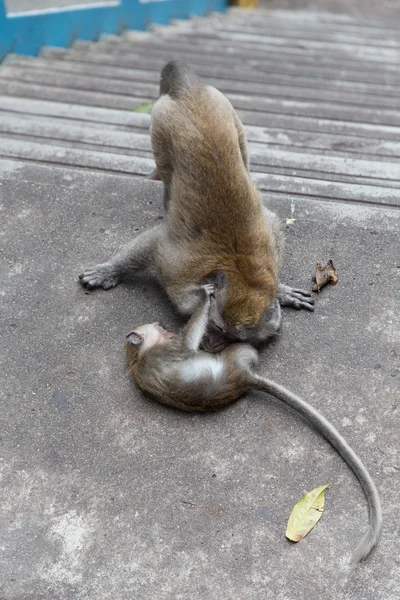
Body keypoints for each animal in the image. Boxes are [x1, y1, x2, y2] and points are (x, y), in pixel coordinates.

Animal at [79, 59, 314, 352]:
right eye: (218, 327)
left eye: (234, 339)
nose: (213, 345)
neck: (240, 269)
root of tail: (190, 90)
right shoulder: (176, 268)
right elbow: (154, 243)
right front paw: (109, 270)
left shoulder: (269, 247)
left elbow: (272, 220)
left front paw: (280, 291)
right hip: (161, 126)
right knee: (168, 174)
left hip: (228, 110)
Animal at [124, 284, 382, 564]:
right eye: (158, 328)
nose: (164, 326)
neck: (138, 357)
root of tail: (245, 377)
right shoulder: (170, 351)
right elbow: (188, 341)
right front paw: (205, 296)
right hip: (235, 354)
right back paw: (274, 313)